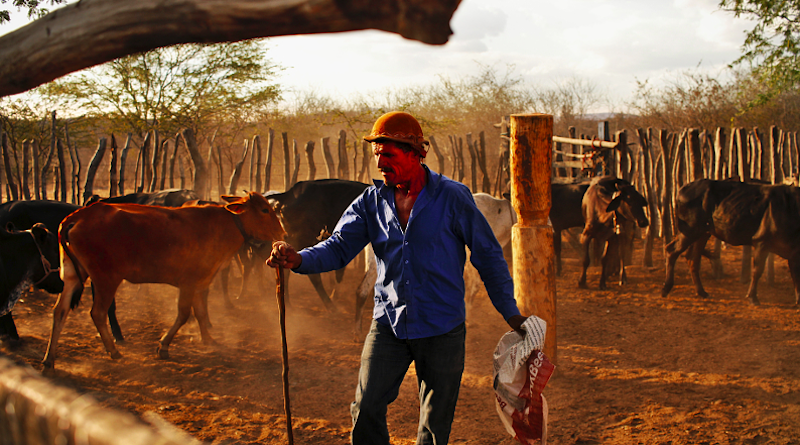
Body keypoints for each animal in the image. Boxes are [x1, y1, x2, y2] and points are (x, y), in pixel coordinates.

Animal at [41, 191, 284, 368]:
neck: (225, 224)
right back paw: (114, 351)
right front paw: (163, 346)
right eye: (264, 210)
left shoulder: (201, 281)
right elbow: (185, 313)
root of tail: (79, 216)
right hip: (105, 278)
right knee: (98, 313)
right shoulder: (189, 282)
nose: (281, 232)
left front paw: (208, 340)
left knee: (59, 311)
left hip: (73, 274)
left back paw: (49, 358)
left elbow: (200, 310)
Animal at [664, 178, 800, 306]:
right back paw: (666, 288)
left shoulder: (794, 254)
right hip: (689, 230)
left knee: (692, 259)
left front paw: (798, 300)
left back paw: (702, 292)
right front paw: (752, 298)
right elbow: (757, 271)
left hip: (703, 233)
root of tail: (683, 189)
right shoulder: (761, 242)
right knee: (672, 250)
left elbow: (796, 276)